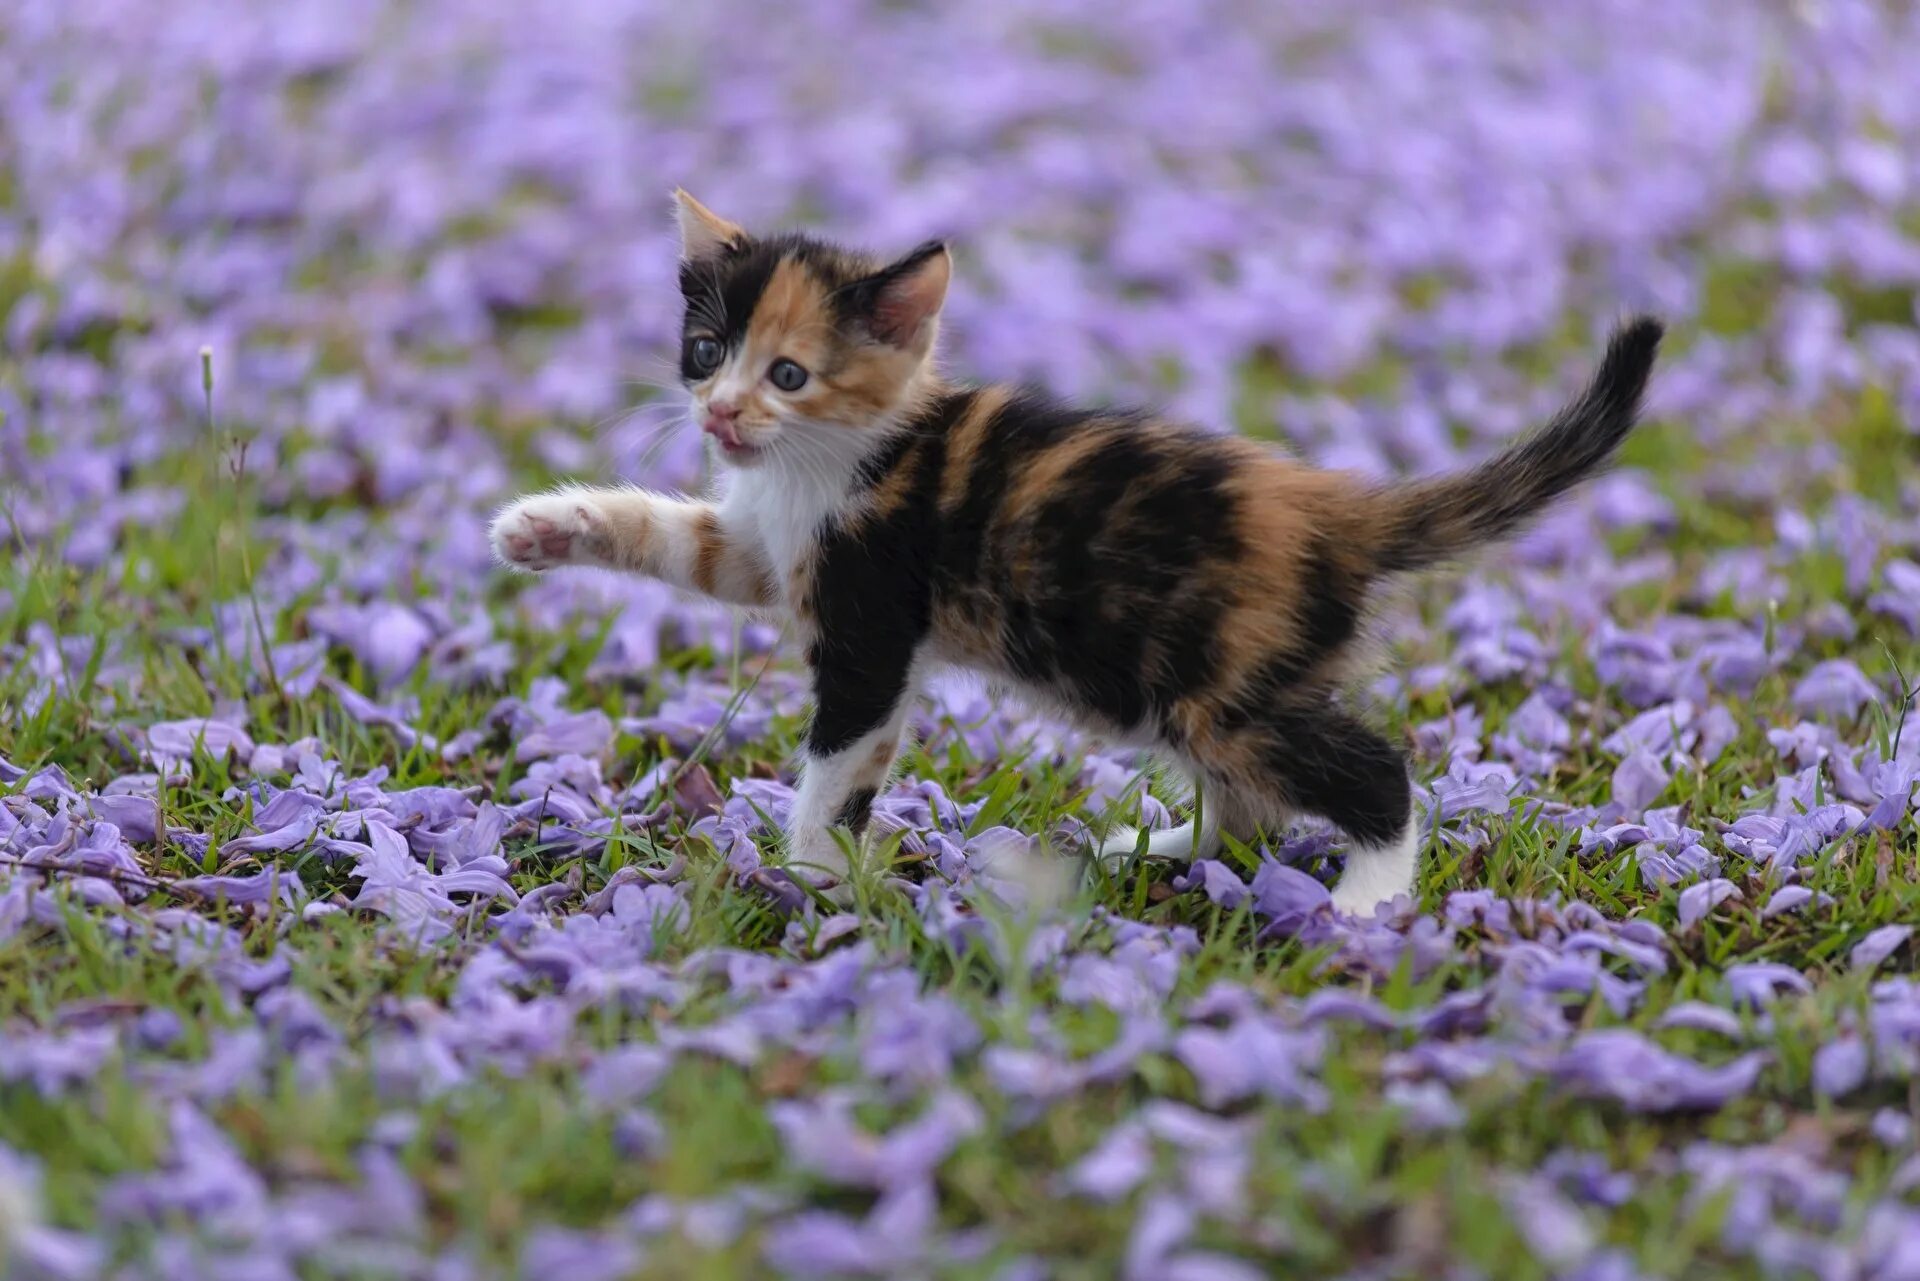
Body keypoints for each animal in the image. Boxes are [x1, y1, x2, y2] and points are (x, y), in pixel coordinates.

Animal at [495, 190, 1666, 910]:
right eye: (705, 353)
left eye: (788, 374)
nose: (722, 414)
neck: (843, 452)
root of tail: (1341, 511)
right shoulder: (769, 545)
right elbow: (687, 542)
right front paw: (543, 526)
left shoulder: (872, 617)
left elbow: (838, 763)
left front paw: (813, 873)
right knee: (1244, 800)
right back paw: (1168, 852)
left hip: (1223, 687)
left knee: (1377, 774)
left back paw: (1368, 901)